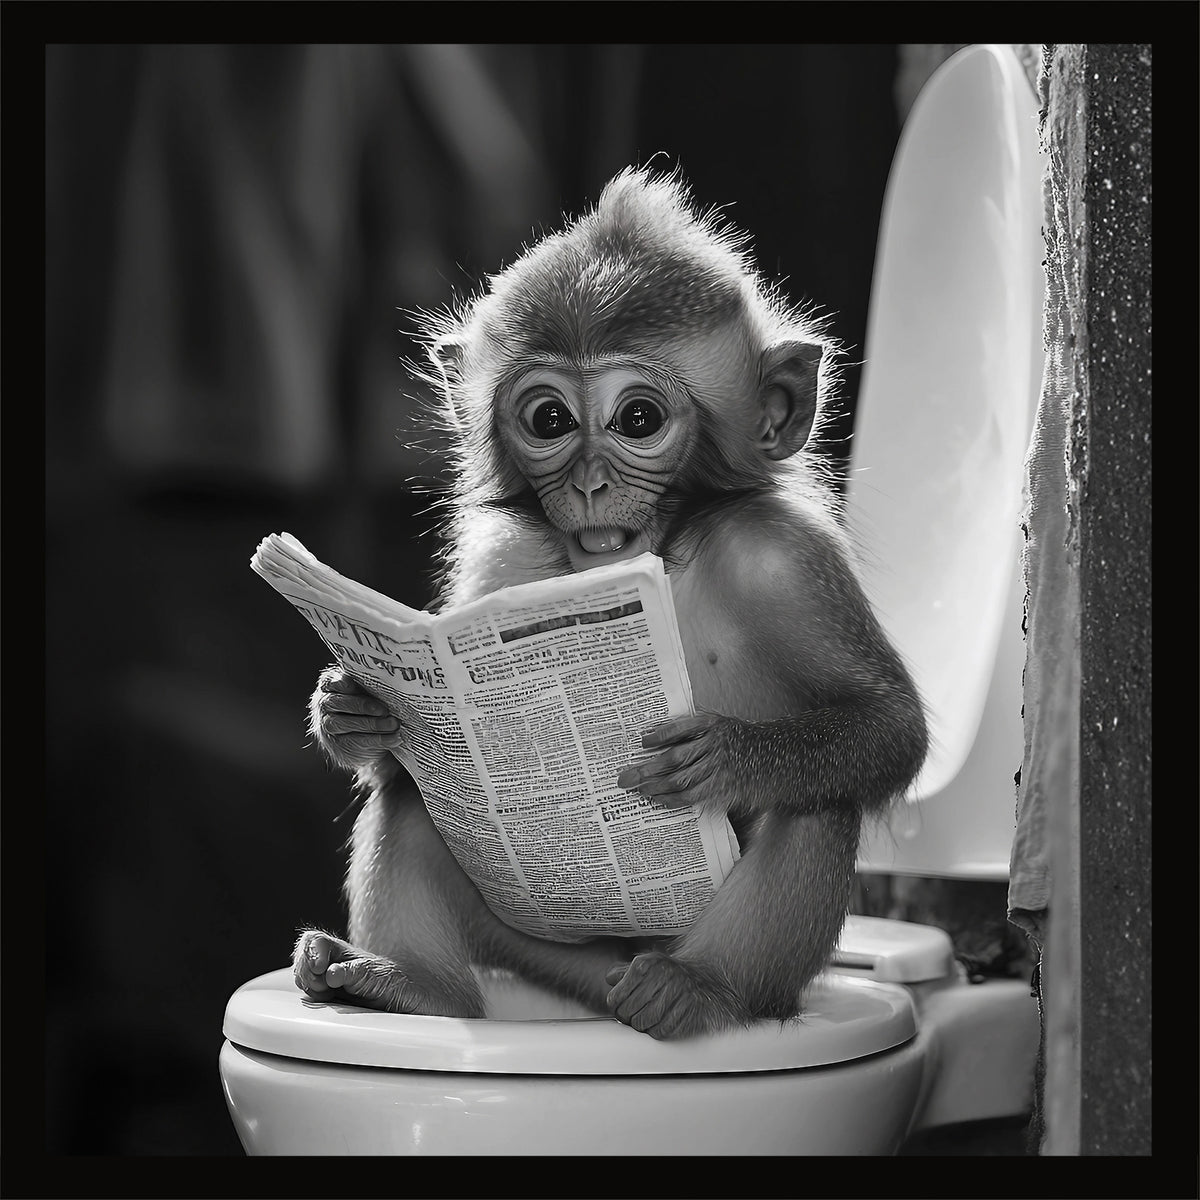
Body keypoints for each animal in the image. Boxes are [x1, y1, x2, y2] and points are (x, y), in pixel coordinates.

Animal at [293, 166, 928, 1040]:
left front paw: (727, 756)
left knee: (817, 803)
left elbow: (889, 726)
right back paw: (411, 986)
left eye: (638, 418)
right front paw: (351, 708)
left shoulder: (787, 560)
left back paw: (699, 989)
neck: (663, 553)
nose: (591, 483)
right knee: (417, 797)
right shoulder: (504, 562)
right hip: (545, 944)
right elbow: (407, 754)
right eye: (549, 418)